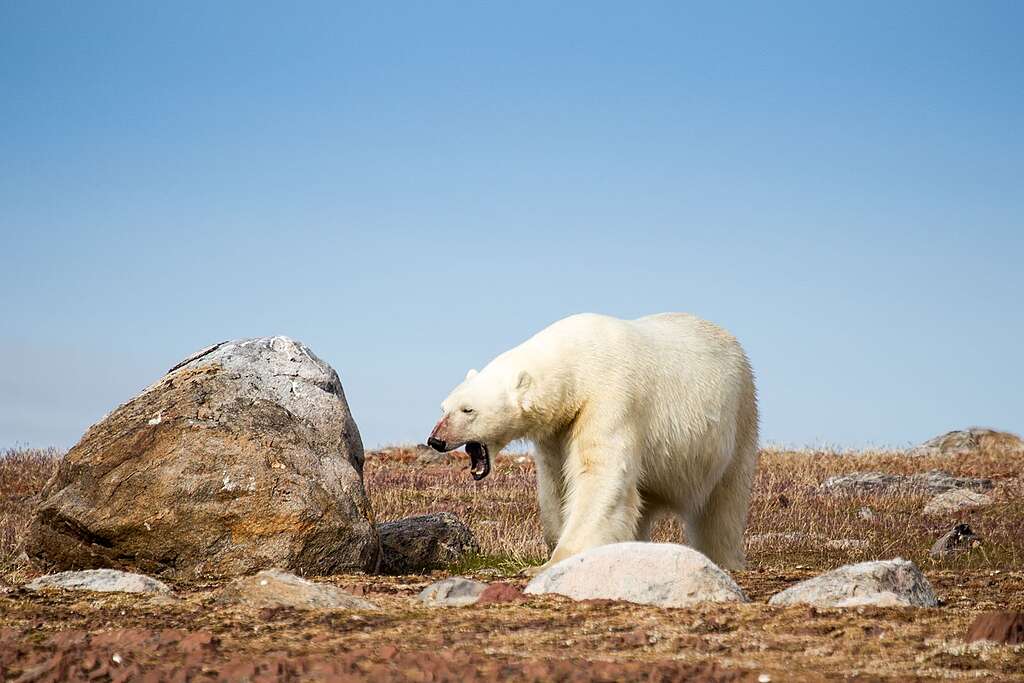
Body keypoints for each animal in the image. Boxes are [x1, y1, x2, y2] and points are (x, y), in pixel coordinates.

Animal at [425, 313, 761, 573]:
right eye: (444, 407)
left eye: (468, 410)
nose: (436, 440)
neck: (576, 361)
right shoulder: (558, 429)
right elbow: (556, 482)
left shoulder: (610, 397)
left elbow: (598, 472)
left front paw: (555, 560)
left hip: (740, 414)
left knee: (724, 502)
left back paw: (724, 557)